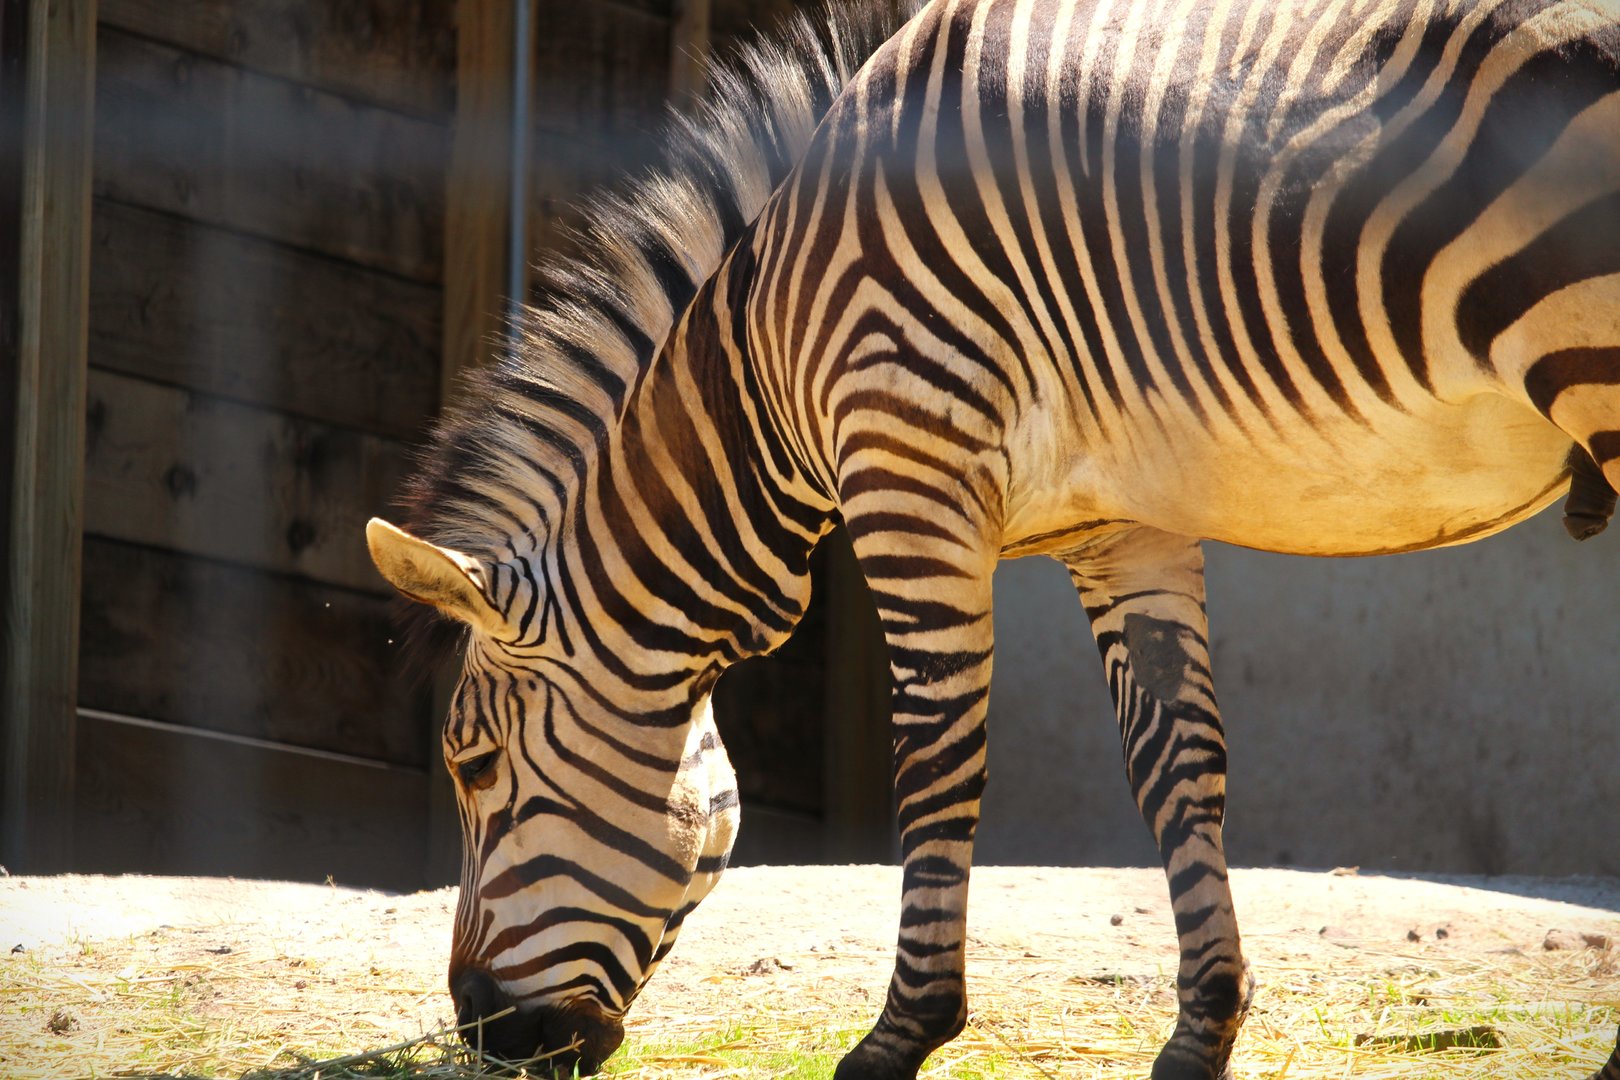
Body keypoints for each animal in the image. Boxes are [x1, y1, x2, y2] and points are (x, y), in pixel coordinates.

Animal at [364, 0, 1620, 1076]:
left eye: (473, 766)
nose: (482, 1033)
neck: (762, 353)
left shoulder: (907, 464)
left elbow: (936, 757)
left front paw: (901, 1036)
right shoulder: (1125, 521)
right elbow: (1177, 763)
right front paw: (1201, 1035)